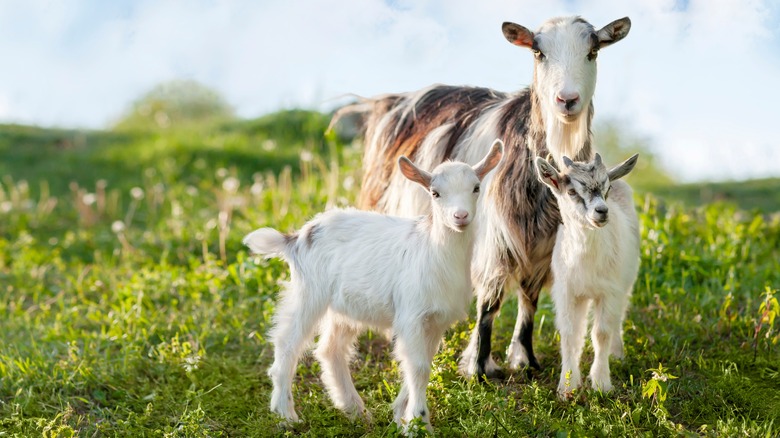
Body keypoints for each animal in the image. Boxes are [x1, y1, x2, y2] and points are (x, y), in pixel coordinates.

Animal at [244, 141, 504, 431]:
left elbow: (420, 364)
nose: (461, 216)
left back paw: (354, 410)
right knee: (288, 343)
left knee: (331, 350)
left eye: (476, 187)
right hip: (309, 293)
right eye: (435, 193)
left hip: (344, 307)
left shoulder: (436, 320)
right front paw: (418, 424)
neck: (432, 250)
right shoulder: (411, 315)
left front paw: (402, 416)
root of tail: (296, 238)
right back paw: (286, 415)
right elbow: (418, 367)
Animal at [330, 16, 631, 378]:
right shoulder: (495, 238)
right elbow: (490, 302)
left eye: (593, 51)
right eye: (538, 52)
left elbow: (529, 300)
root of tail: (388, 101)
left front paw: (526, 359)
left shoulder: (543, 243)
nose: (567, 99)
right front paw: (479, 367)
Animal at [535, 153, 640, 397]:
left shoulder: (610, 291)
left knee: (617, 319)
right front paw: (567, 385)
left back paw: (617, 354)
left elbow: (601, 333)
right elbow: (569, 334)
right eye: (572, 191)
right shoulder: (566, 292)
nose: (602, 211)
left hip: (625, 284)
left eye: (607, 188)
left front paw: (601, 383)